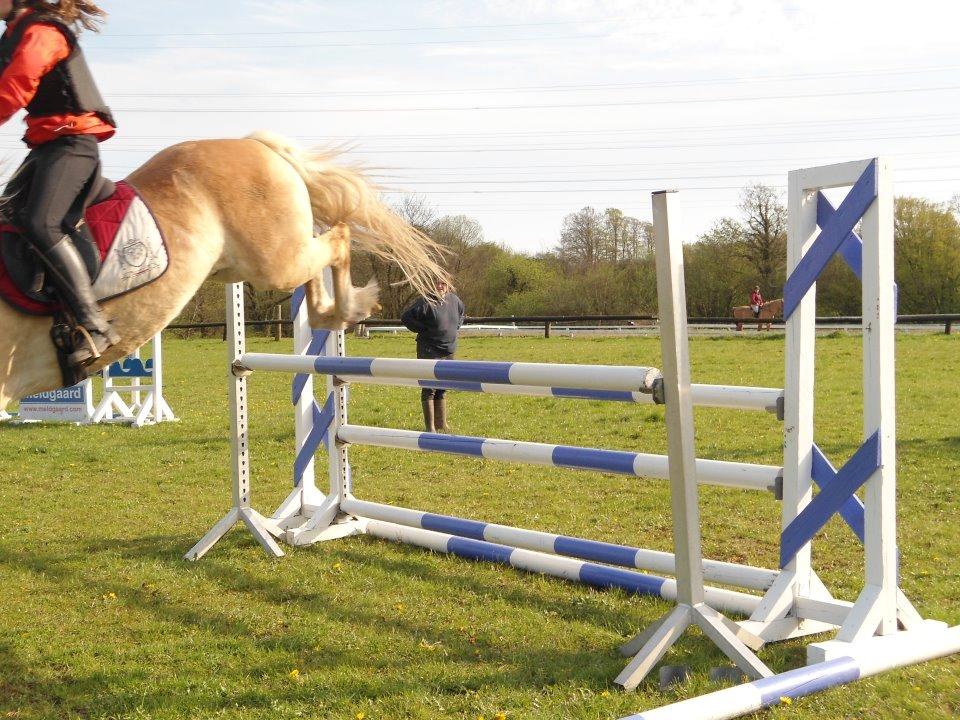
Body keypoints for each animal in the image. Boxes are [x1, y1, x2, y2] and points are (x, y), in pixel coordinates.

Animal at [0, 129, 450, 410]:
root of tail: (254, 144)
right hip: (250, 263)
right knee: (321, 275)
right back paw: (340, 310)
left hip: (276, 259)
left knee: (337, 239)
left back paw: (354, 306)